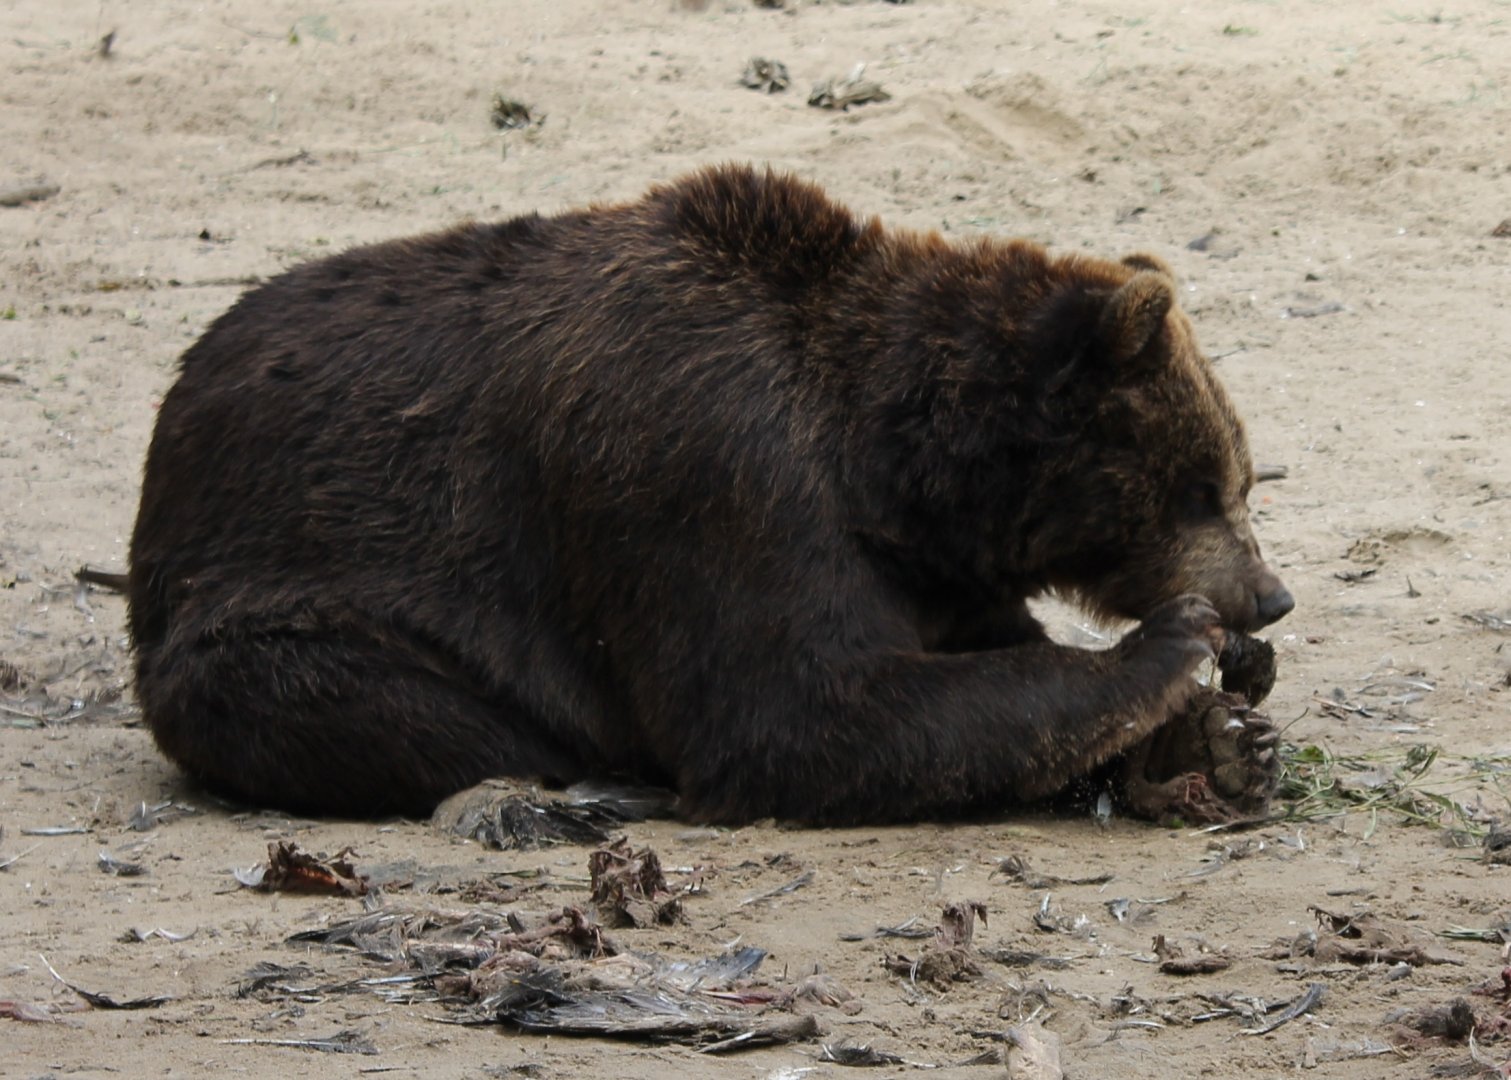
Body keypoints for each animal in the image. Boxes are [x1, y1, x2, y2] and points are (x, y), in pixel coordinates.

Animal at [127, 164, 1294, 826]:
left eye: (1239, 476)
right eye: (1206, 486)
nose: (1269, 595)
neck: (876, 457)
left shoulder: (915, 562)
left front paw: (1217, 744)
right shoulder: (707, 469)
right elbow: (800, 713)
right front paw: (1171, 650)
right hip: (285, 585)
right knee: (390, 705)